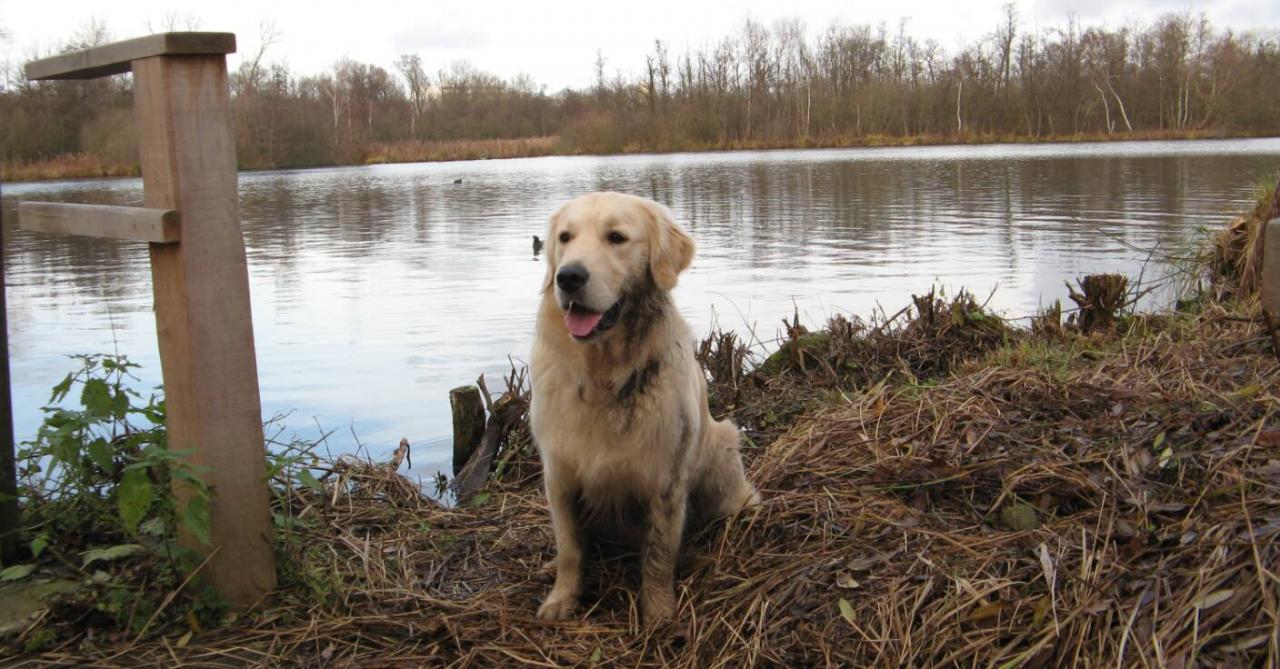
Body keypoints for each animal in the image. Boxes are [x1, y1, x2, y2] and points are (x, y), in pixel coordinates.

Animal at [529, 191, 757, 624]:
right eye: (565, 237)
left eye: (616, 237)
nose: (568, 277)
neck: (604, 377)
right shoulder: (559, 474)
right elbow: (570, 548)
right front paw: (561, 598)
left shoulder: (665, 477)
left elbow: (658, 554)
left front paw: (659, 612)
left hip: (722, 447)